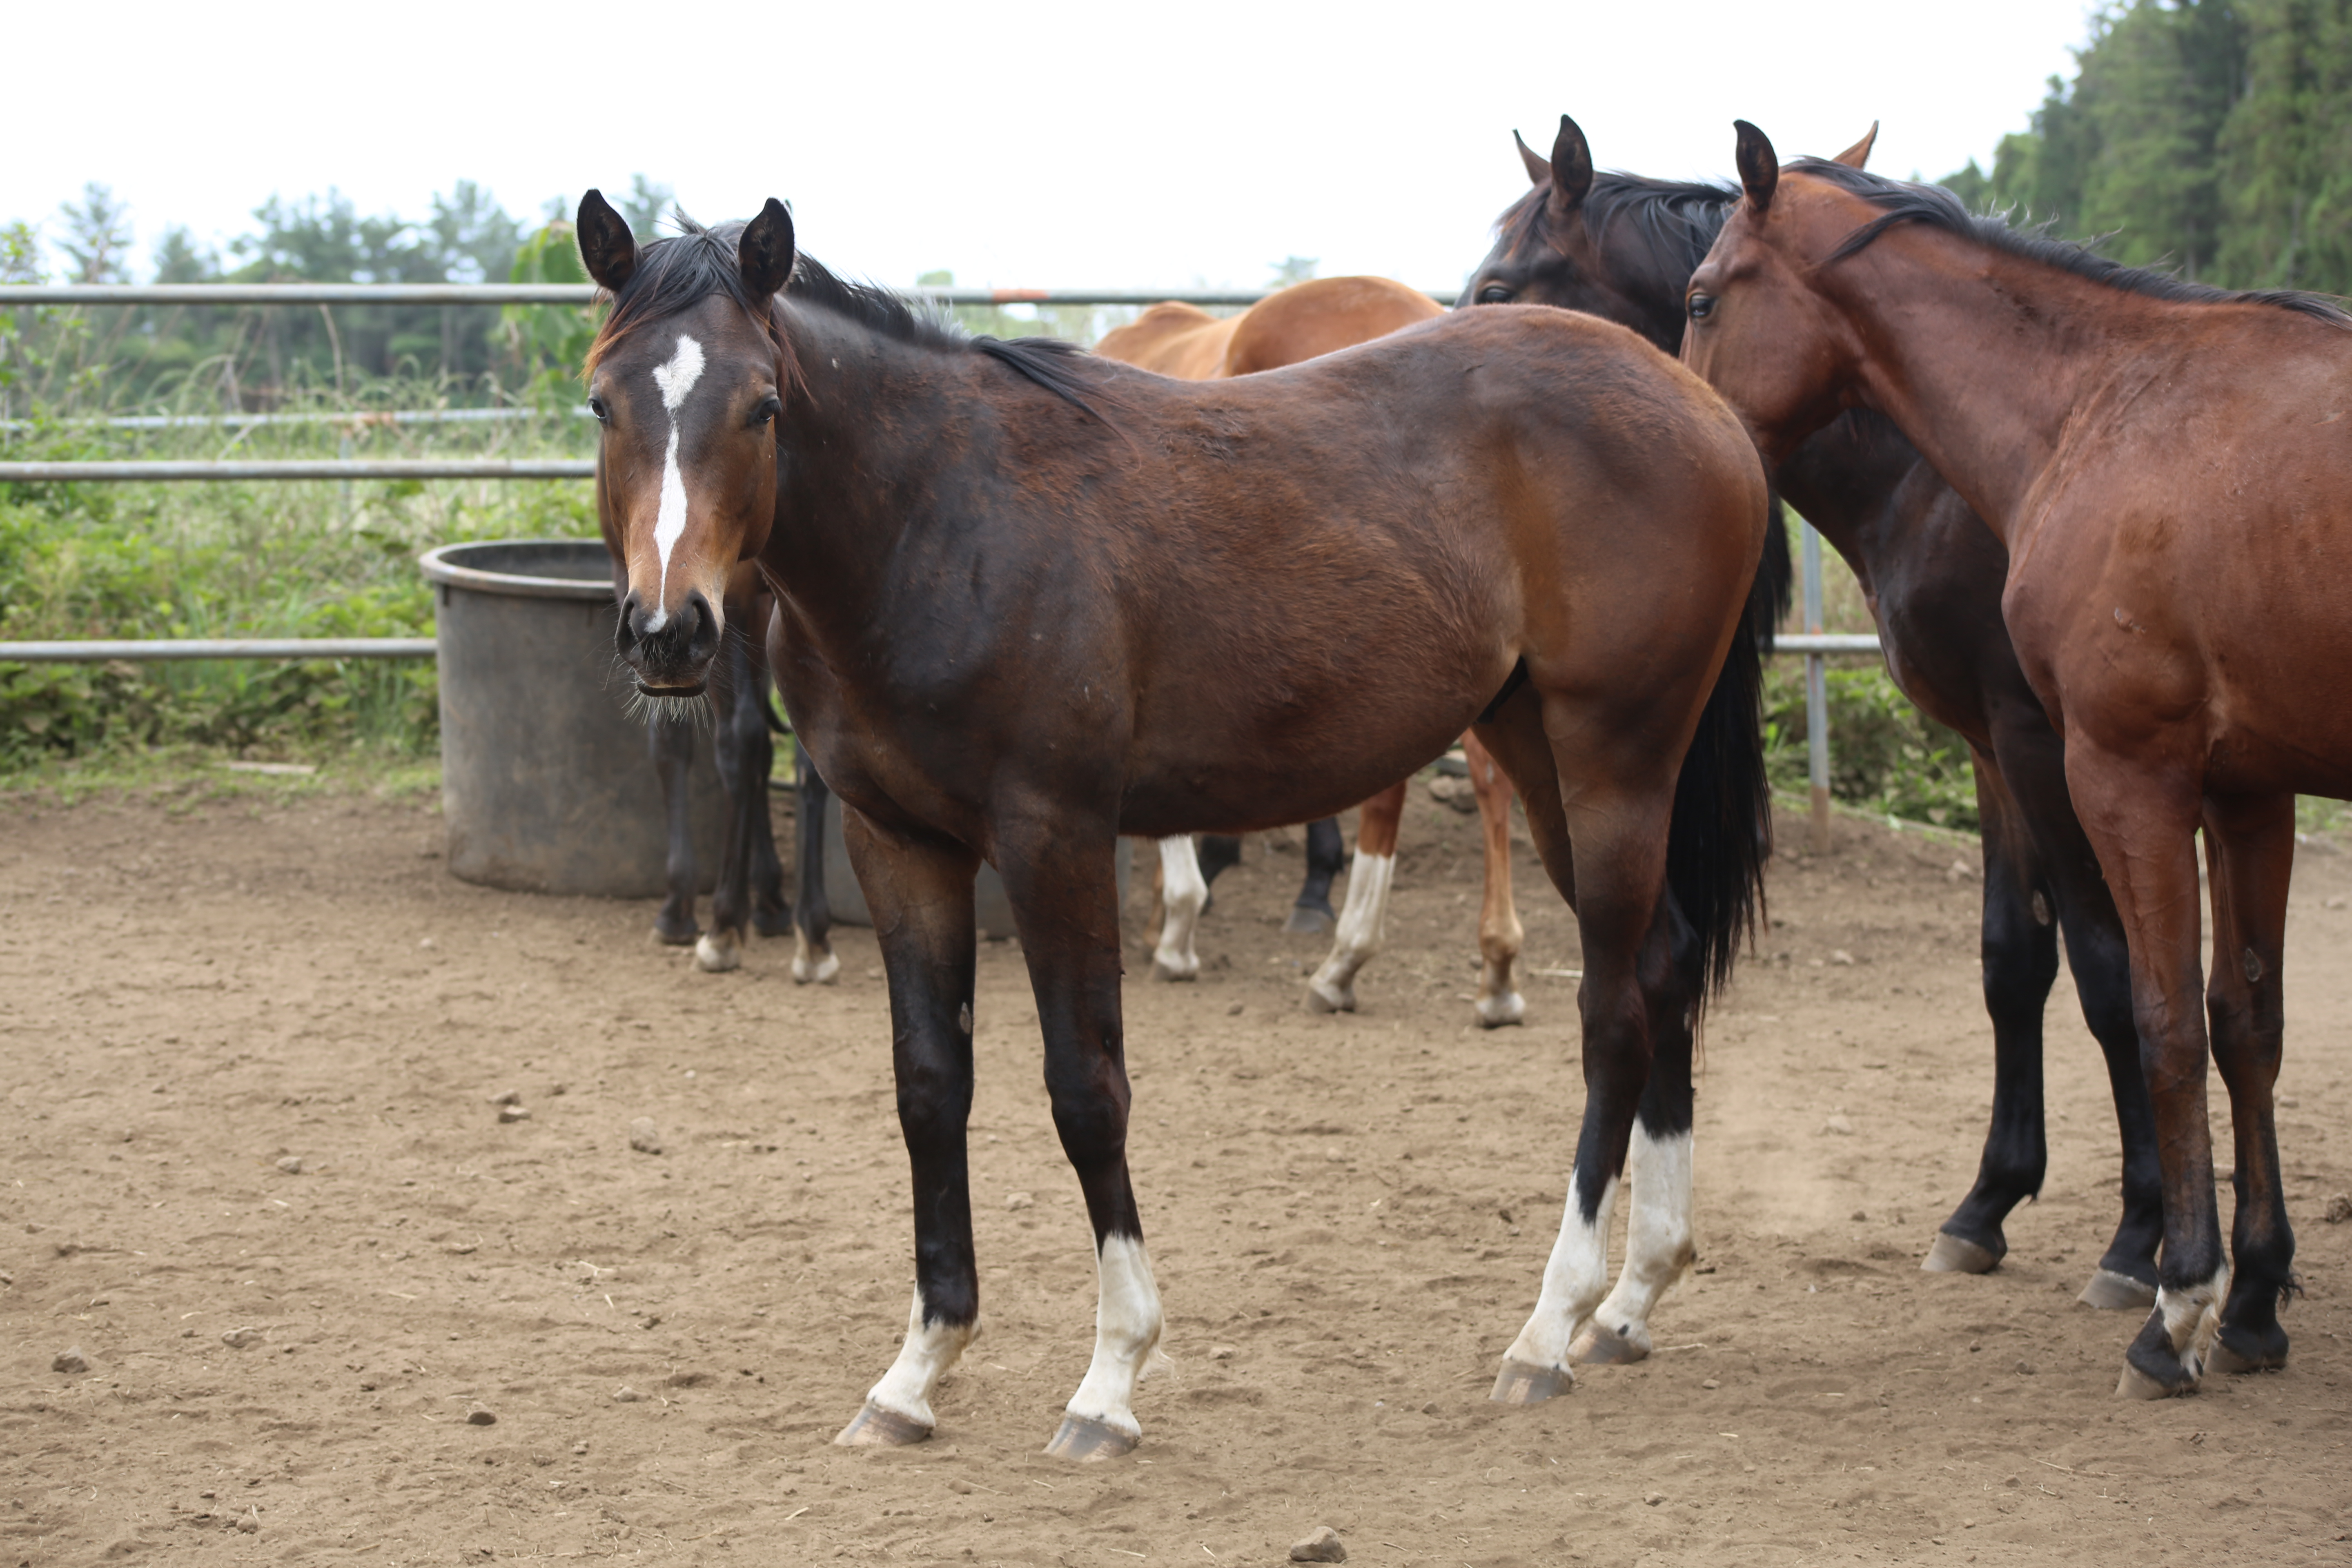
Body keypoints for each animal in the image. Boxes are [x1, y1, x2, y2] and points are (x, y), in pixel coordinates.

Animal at [1449, 116, 2164, 1363]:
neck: (1945, 461)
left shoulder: (2052, 743)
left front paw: (2139, 1238)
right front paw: (1987, 1203)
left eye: (1498, 288)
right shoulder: (1991, 747)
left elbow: (2107, 964)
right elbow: (2012, 961)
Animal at [1684, 120, 2352, 1401]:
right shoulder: (2248, 793)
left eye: (1700, 296)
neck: (2105, 410)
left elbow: (2155, 1017)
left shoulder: (2121, 776)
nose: (1678, 428)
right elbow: (2244, 1024)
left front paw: (2173, 1301)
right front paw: (2252, 1299)